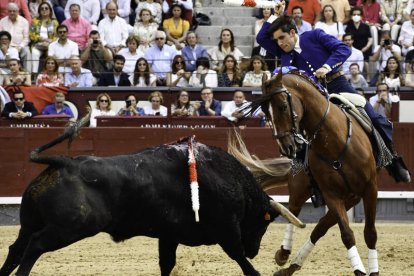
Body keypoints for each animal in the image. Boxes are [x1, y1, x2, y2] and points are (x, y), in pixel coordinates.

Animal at [0, 117, 304, 274]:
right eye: (264, 222)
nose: (255, 250)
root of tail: (64, 163)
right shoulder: (227, 229)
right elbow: (239, 259)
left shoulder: (168, 235)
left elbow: (166, 264)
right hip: (71, 227)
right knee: (35, 247)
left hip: (31, 223)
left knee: (16, 249)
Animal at [258, 71, 382, 276]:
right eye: (265, 112)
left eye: (283, 106)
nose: (287, 147)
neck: (334, 141)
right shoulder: (331, 194)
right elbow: (347, 234)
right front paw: (359, 269)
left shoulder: (370, 188)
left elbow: (370, 233)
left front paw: (372, 271)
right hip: (302, 186)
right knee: (293, 210)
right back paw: (284, 254)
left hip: (352, 197)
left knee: (320, 226)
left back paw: (292, 264)